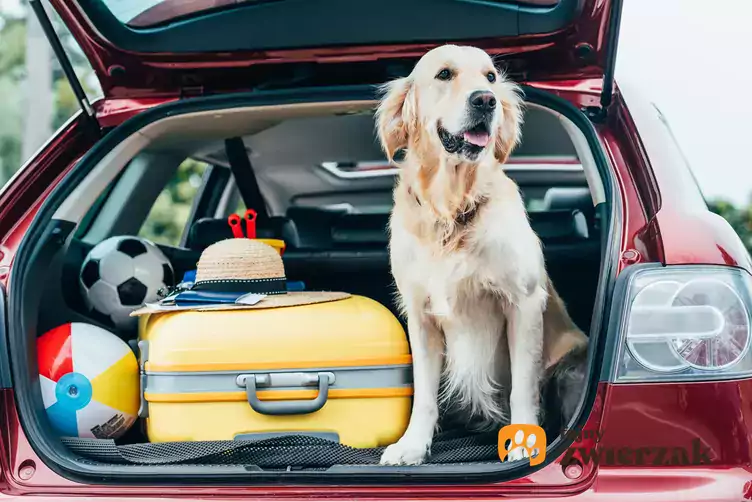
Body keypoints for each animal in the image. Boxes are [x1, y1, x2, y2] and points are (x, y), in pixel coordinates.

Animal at [376, 45, 588, 464]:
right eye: (444, 74)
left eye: (490, 77)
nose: (486, 100)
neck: (452, 208)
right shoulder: (421, 315)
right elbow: (424, 395)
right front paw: (412, 445)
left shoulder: (522, 303)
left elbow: (523, 386)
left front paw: (522, 442)